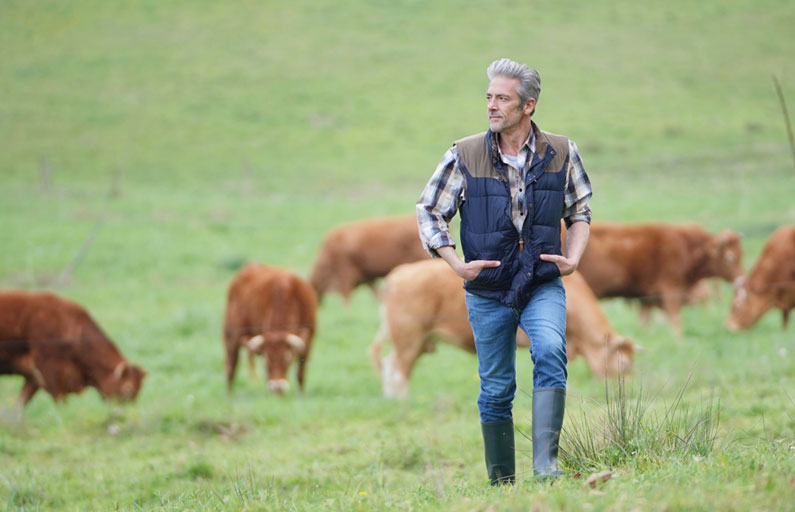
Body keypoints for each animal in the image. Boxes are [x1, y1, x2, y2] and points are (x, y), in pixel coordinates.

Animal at [0, 292, 148, 408]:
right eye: (128, 389)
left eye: (138, 391)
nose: (129, 412)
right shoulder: (50, 372)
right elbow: (60, 402)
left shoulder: (33, 376)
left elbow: (20, 405)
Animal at [224, 262, 318, 394]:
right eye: (267, 359)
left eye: (286, 358)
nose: (277, 387)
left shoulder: (309, 341)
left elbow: (301, 373)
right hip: (230, 336)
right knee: (231, 368)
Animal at [366, 260, 636, 400]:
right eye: (623, 364)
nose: (623, 392)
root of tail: (399, 274)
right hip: (409, 337)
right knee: (398, 370)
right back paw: (403, 403)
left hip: (418, 341)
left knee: (390, 365)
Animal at [576, 221, 744, 336]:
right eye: (730, 257)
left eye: (741, 255)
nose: (740, 280)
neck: (684, 246)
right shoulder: (671, 289)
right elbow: (676, 320)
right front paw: (678, 339)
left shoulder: (646, 298)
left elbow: (645, 322)